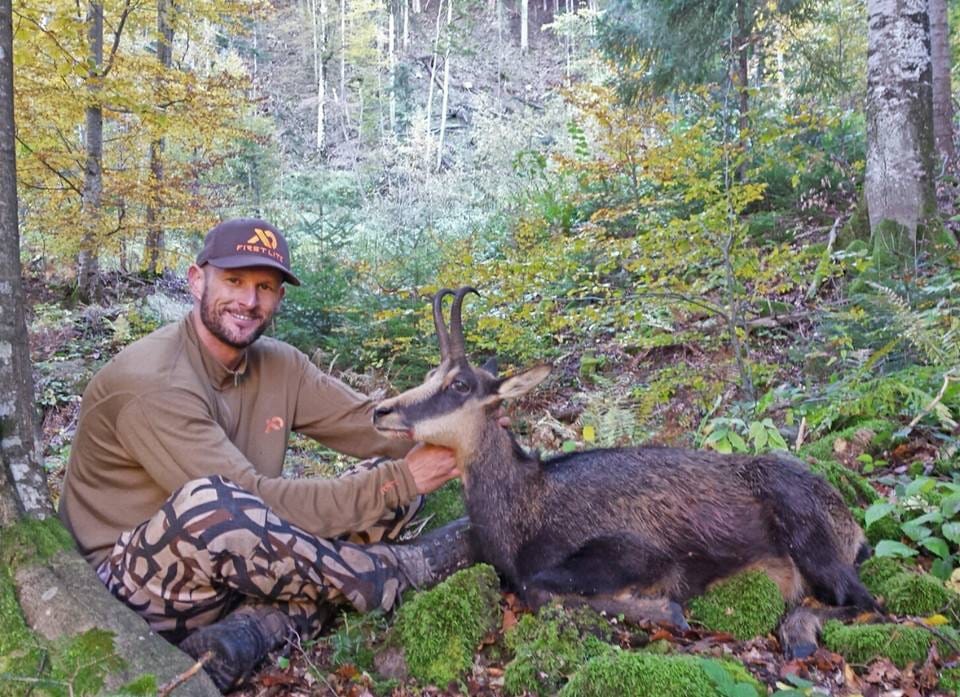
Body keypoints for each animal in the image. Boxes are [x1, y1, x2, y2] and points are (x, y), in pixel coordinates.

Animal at [373, 287, 878, 657]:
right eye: (430, 375)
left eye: (459, 384)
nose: (380, 411)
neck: (526, 507)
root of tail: (851, 523)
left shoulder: (635, 552)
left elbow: (541, 587)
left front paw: (662, 610)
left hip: (809, 538)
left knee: (867, 602)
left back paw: (798, 634)